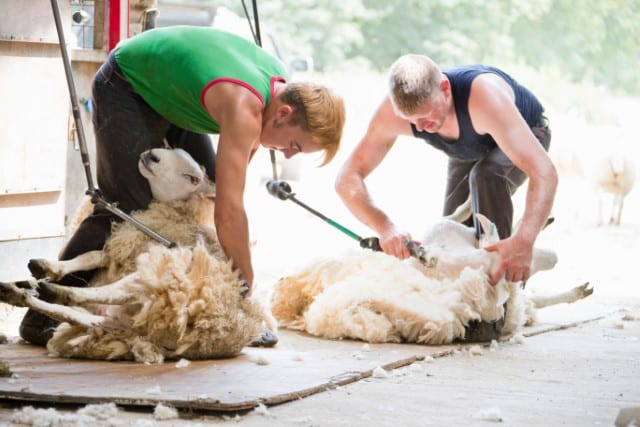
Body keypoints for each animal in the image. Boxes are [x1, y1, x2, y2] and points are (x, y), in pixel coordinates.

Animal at [0, 148, 272, 364]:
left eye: (192, 178)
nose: (152, 155)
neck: (176, 217)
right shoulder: (122, 252)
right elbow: (88, 257)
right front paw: (47, 266)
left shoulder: (137, 258)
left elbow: (90, 258)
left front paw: (47, 274)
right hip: (123, 322)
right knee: (81, 316)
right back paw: (18, 292)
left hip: (155, 281)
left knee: (102, 294)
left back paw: (51, 291)